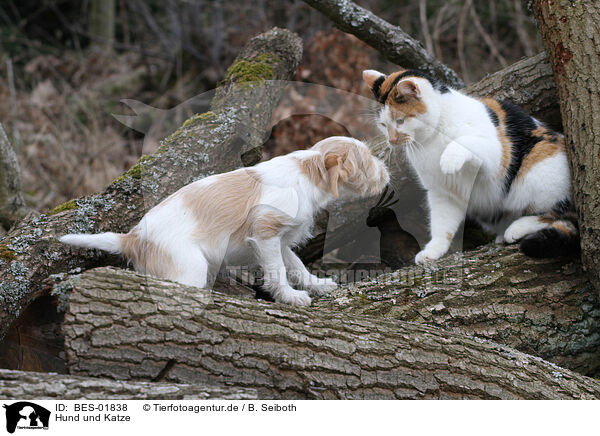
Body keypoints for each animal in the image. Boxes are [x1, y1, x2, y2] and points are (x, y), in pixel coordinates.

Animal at [59, 136, 390, 306]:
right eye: (368, 162)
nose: (387, 173)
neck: (307, 169)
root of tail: (133, 237)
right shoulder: (266, 233)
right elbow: (278, 272)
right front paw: (291, 297)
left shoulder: (280, 240)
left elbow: (296, 264)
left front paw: (317, 285)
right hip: (190, 267)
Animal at [364, 68, 580, 264]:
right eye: (383, 125)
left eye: (400, 121)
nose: (392, 140)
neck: (432, 137)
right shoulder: (441, 192)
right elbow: (442, 224)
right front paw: (432, 251)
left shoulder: (496, 154)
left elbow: (465, 141)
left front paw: (448, 160)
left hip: (538, 173)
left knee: (554, 214)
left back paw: (516, 229)